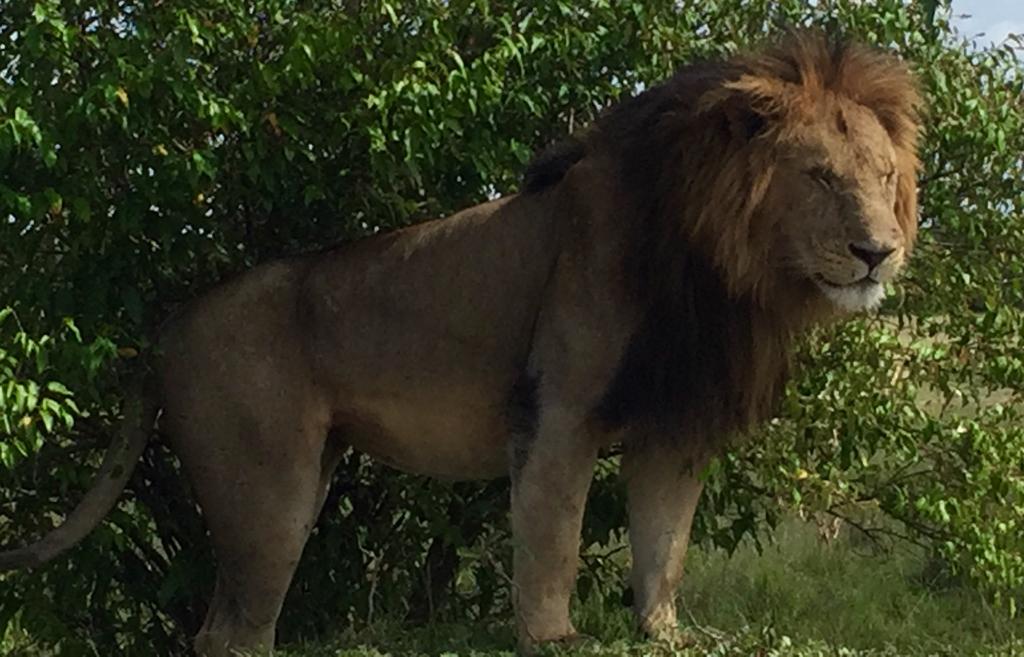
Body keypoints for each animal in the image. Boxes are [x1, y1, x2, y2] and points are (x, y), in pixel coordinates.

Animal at [0, 32, 920, 656]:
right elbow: (552, 537)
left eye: (882, 178)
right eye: (819, 176)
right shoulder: (558, 405)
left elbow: (666, 545)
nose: (879, 251)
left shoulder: (672, 421)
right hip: (266, 492)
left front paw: (664, 632)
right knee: (231, 631)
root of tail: (166, 326)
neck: (718, 262)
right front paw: (552, 637)